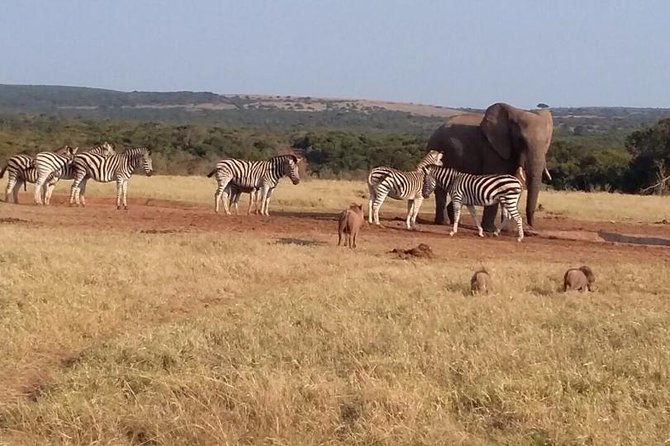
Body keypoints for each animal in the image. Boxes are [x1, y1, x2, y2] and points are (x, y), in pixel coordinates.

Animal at [428, 103, 552, 232]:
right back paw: (443, 222)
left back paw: (456, 221)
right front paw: (490, 230)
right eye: (521, 140)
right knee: (440, 189)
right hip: (437, 149)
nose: (532, 226)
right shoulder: (492, 150)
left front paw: (508, 230)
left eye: (547, 142)